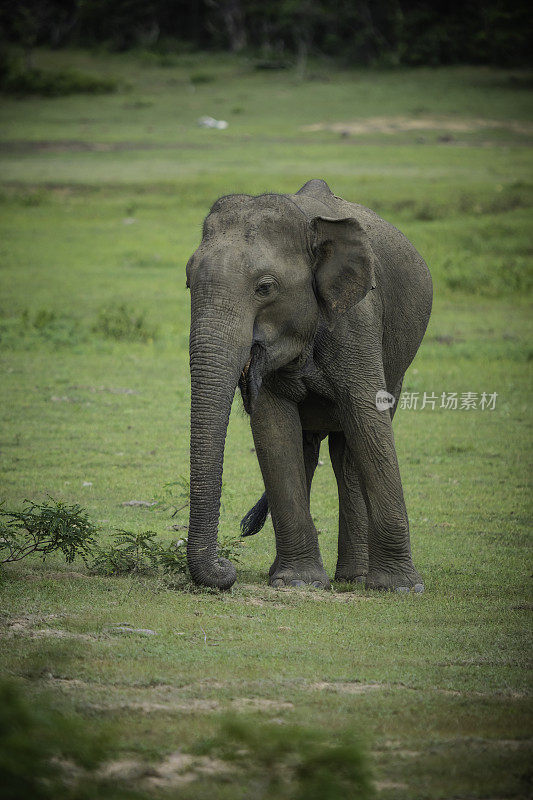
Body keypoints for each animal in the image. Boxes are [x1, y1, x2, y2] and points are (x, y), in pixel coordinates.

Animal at [185, 181, 430, 592]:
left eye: (265, 288)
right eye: (188, 281)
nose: (226, 567)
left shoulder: (357, 320)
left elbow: (368, 419)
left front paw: (400, 588)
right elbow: (273, 430)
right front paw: (297, 583)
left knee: (348, 453)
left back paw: (354, 577)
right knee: (307, 447)